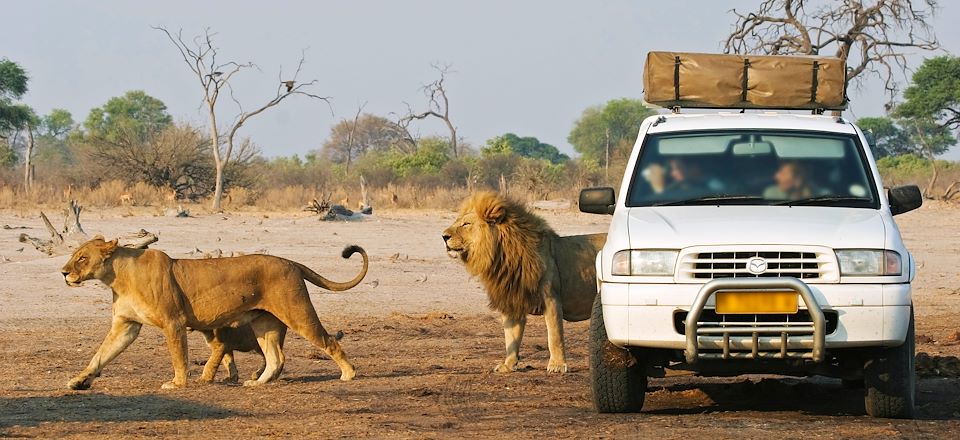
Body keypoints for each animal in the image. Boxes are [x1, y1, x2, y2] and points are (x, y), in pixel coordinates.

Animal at [61, 237, 368, 388]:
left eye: (82, 258)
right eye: (74, 256)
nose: (63, 273)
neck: (118, 277)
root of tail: (290, 261)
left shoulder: (173, 322)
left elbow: (179, 357)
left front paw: (178, 383)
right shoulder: (126, 325)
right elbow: (100, 355)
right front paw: (79, 380)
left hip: (297, 312)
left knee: (329, 341)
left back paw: (349, 374)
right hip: (264, 324)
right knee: (276, 357)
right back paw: (257, 383)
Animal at [440, 191, 604, 372]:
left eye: (466, 224)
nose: (444, 236)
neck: (502, 257)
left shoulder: (551, 298)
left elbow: (554, 336)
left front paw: (557, 365)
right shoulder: (511, 301)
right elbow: (511, 337)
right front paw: (508, 365)